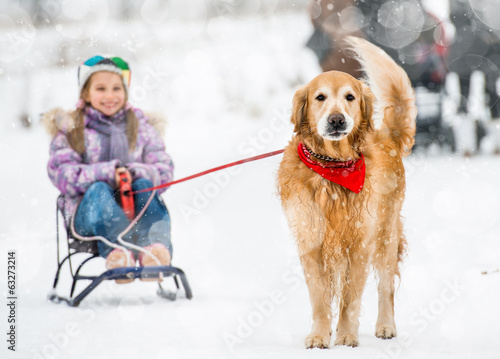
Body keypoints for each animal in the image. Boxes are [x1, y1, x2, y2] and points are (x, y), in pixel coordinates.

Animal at [280, 37, 416, 348]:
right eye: (320, 97)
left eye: (350, 97)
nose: (336, 120)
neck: (332, 166)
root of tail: (387, 135)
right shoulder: (311, 242)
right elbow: (320, 298)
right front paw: (320, 335)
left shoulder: (359, 244)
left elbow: (350, 298)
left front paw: (345, 336)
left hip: (386, 235)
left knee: (386, 288)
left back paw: (385, 326)